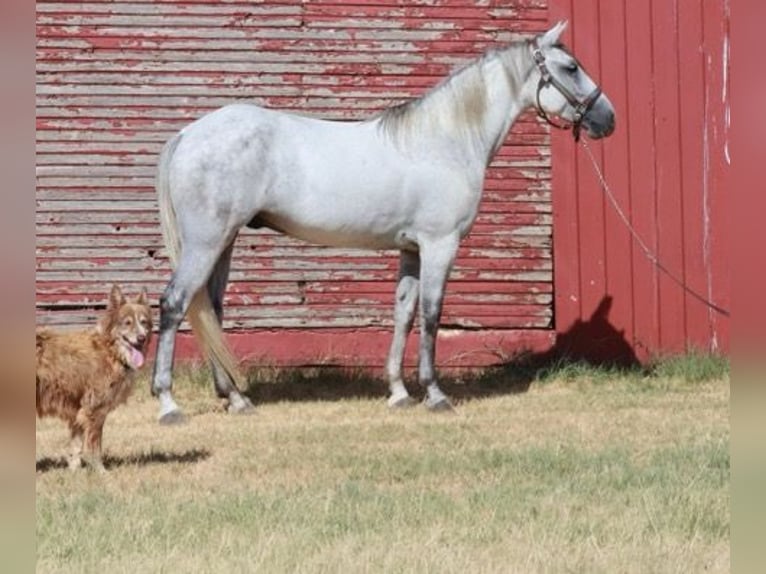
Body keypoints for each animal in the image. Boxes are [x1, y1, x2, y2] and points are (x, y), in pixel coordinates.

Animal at [151, 21, 615, 423]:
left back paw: (235, 398)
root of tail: (189, 135)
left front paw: (398, 392)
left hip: (223, 241)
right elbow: (431, 314)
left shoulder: (411, 248)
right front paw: (435, 394)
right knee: (174, 303)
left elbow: (404, 312)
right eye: (570, 67)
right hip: (206, 241)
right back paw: (168, 404)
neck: (443, 141)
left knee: (209, 308)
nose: (608, 118)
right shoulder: (439, 244)